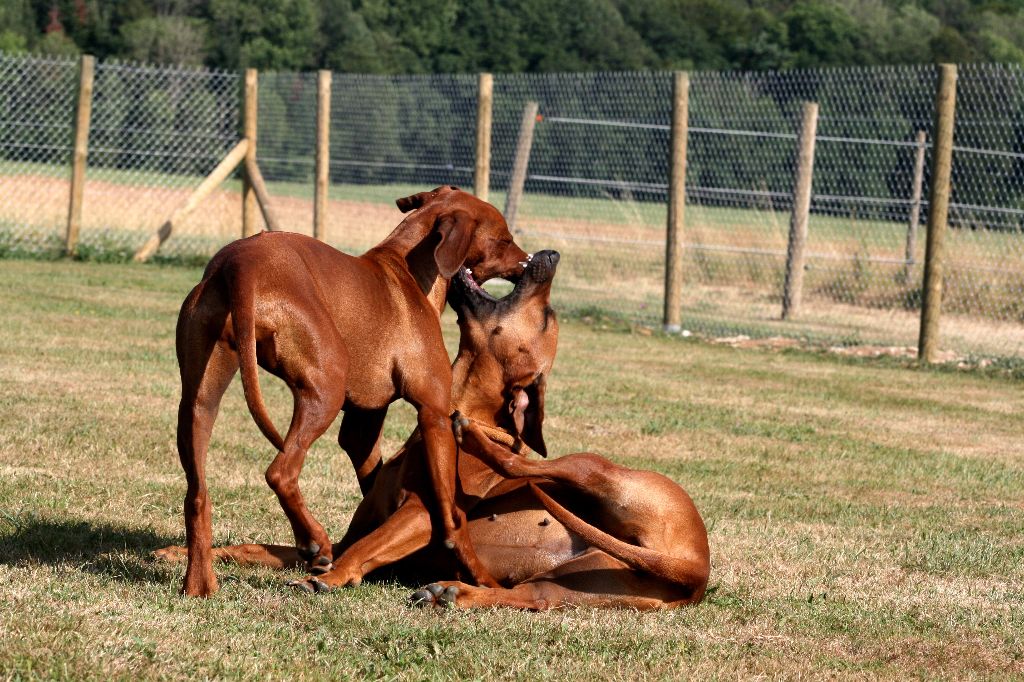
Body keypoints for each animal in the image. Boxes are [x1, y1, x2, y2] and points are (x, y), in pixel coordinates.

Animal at [157, 248, 712, 606]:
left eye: (547, 316)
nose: (553, 254)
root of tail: (698, 568)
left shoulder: (422, 516)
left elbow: (359, 550)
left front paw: (331, 579)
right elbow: (267, 547)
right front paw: (182, 552)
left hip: (599, 469)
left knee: (530, 465)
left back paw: (481, 446)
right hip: (579, 585)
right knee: (530, 597)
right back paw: (453, 590)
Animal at [171, 183, 524, 593]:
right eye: (504, 239)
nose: (527, 261)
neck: (410, 269)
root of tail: (238, 262)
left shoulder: (361, 426)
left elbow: (374, 481)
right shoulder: (434, 414)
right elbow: (450, 511)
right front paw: (477, 573)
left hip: (199, 401)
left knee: (196, 494)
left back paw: (200, 582)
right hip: (326, 387)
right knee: (280, 472)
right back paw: (314, 542)